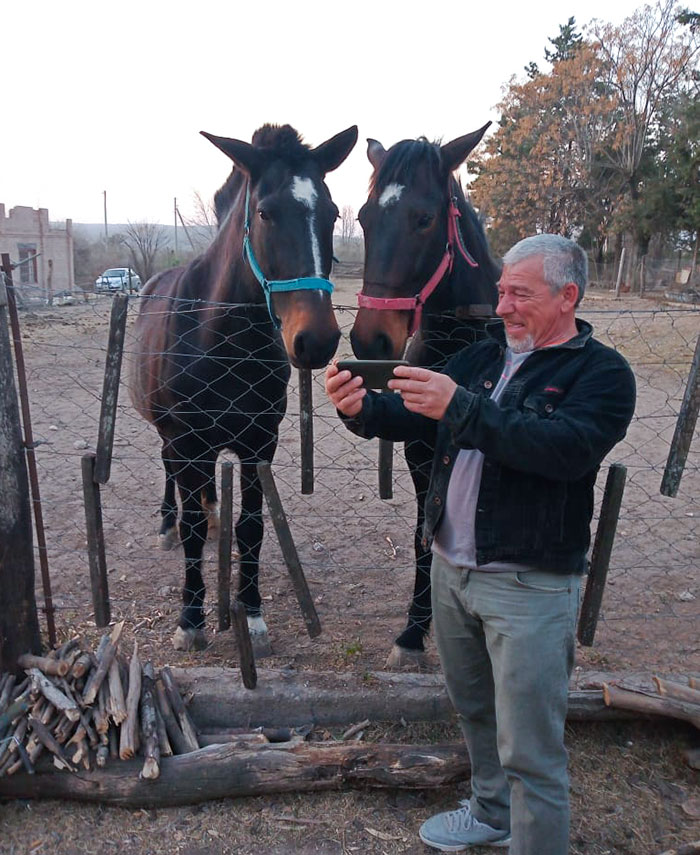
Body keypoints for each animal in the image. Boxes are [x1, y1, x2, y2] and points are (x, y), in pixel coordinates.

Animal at [130, 123, 358, 652]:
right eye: (265, 212)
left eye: (332, 213)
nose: (316, 339)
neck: (224, 342)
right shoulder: (188, 440)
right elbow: (193, 529)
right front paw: (190, 620)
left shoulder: (259, 444)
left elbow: (251, 528)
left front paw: (252, 614)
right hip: (171, 438)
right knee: (170, 477)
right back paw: (166, 523)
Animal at [350, 125, 500, 668]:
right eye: (364, 218)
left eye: (424, 219)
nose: (370, 341)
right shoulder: (420, 452)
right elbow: (423, 536)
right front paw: (413, 632)